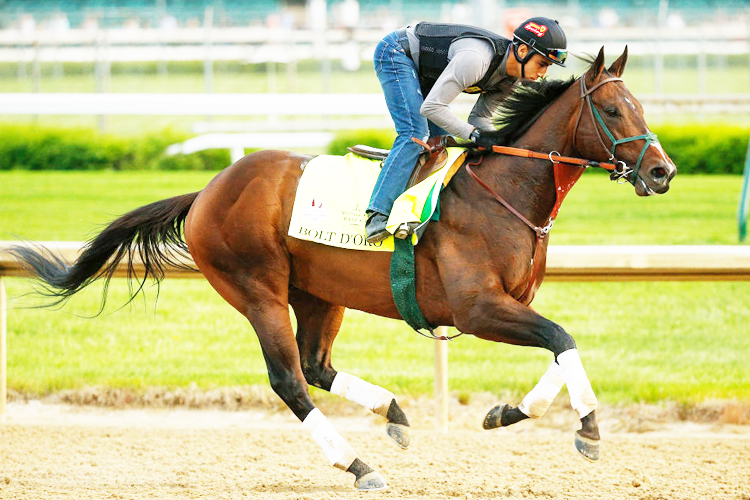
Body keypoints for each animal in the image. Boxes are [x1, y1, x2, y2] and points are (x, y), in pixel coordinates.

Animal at [7, 48, 676, 490]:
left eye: (639, 105)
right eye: (614, 110)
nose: (663, 171)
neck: (503, 191)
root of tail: (206, 192)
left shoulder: (509, 304)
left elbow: (560, 350)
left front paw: (504, 413)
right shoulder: (477, 309)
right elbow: (563, 339)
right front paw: (588, 429)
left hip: (318, 294)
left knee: (315, 365)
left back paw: (394, 415)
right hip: (258, 289)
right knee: (289, 380)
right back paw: (357, 464)